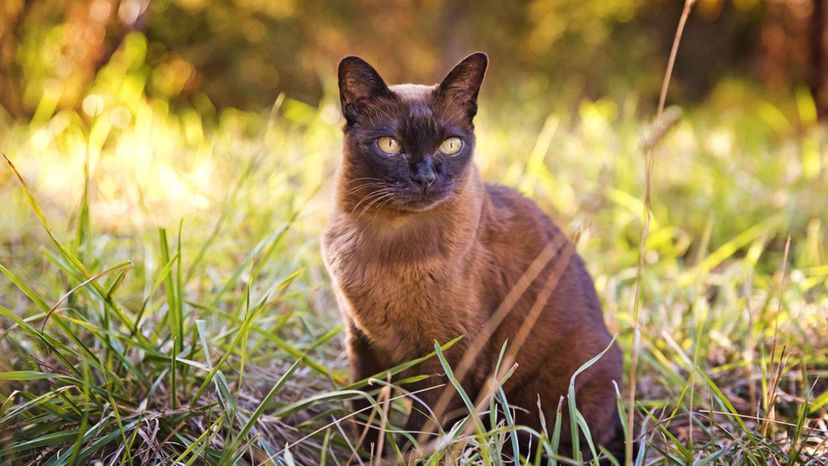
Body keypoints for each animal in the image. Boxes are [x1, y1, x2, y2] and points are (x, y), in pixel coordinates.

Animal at [322, 52, 628, 462]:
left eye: (451, 145)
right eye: (389, 145)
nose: (425, 177)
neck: (387, 245)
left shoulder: (450, 361)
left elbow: (417, 435)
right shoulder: (362, 346)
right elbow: (365, 420)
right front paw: (368, 458)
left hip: (546, 397)